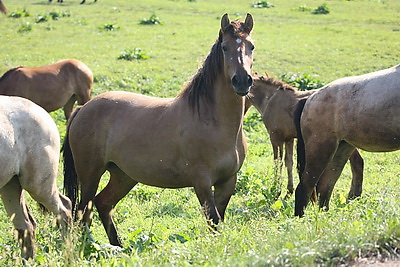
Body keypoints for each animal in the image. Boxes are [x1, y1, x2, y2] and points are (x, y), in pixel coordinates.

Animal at [0, 96, 71, 260]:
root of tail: (43, 113)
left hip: (37, 185)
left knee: (64, 210)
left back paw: (68, 254)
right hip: (10, 185)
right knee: (26, 226)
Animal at [63, 13, 255, 246]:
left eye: (251, 46)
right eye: (225, 47)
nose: (242, 81)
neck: (213, 122)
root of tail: (82, 109)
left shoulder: (227, 181)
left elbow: (218, 221)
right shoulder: (202, 182)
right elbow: (213, 219)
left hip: (123, 176)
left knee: (103, 203)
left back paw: (118, 246)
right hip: (90, 174)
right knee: (83, 213)